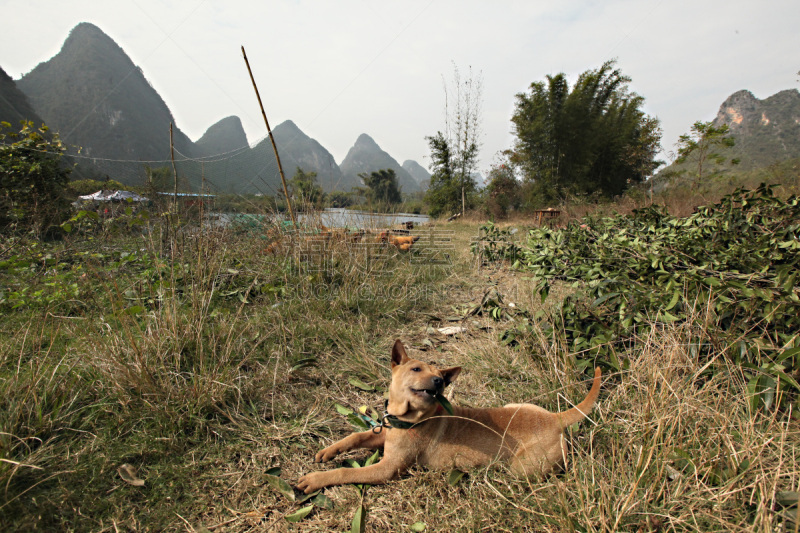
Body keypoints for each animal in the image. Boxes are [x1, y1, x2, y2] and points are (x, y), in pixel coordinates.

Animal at [296, 338, 604, 492]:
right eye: (417, 369)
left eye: (441, 378)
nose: (439, 382)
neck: (407, 420)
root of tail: (555, 418)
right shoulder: (384, 434)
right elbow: (356, 435)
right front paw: (329, 451)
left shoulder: (387, 469)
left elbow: (345, 472)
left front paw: (316, 479)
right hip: (516, 405)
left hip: (521, 468)